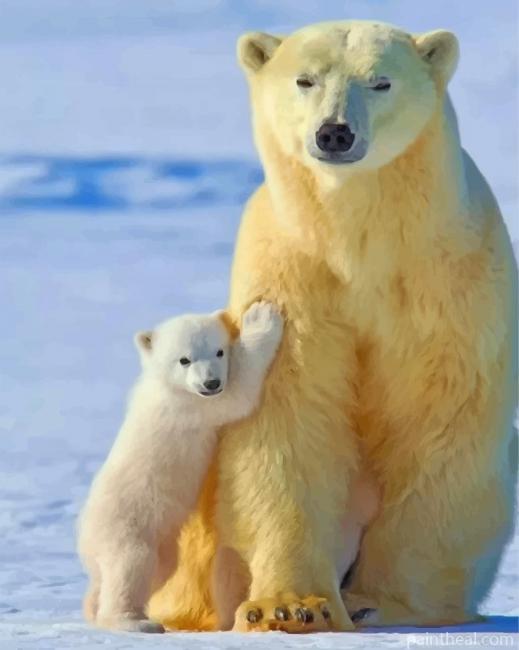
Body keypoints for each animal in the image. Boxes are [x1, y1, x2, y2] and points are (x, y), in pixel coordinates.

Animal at [77, 301, 284, 633]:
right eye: (184, 359)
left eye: (218, 351)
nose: (211, 382)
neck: (165, 385)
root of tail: (84, 539)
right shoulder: (191, 406)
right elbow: (237, 393)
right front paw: (261, 317)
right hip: (127, 524)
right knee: (130, 566)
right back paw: (135, 621)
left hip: (159, 541)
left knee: (153, 570)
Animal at [148, 20, 517, 632]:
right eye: (305, 79)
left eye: (381, 81)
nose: (334, 133)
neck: (359, 238)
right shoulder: (293, 275)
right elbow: (289, 418)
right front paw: (292, 606)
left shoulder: (447, 277)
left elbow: (438, 417)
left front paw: (383, 601)